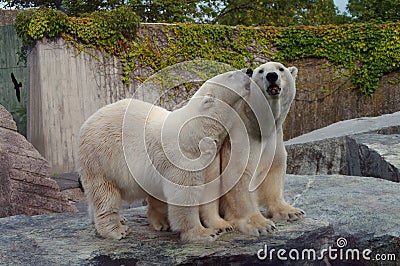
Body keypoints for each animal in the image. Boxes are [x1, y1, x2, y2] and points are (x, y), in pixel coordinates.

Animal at [78, 69, 252, 242]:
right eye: (231, 74)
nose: (248, 70)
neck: (196, 134)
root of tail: (87, 122)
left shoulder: (211, 158)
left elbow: (210, 188)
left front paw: (222, 225)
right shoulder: (184, 158)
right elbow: (184, 194)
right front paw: (202, 233)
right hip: (102, 157)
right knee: (105, 194)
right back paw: (116, 230)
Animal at [217, 62, 304, 237]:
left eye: (280, 69)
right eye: (261, 71)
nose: (272, 76)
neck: (259, 125)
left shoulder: (274, 139)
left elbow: (274, 168)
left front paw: (292, 211)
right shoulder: (241, 136)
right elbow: (239, 174)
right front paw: (261, 224)